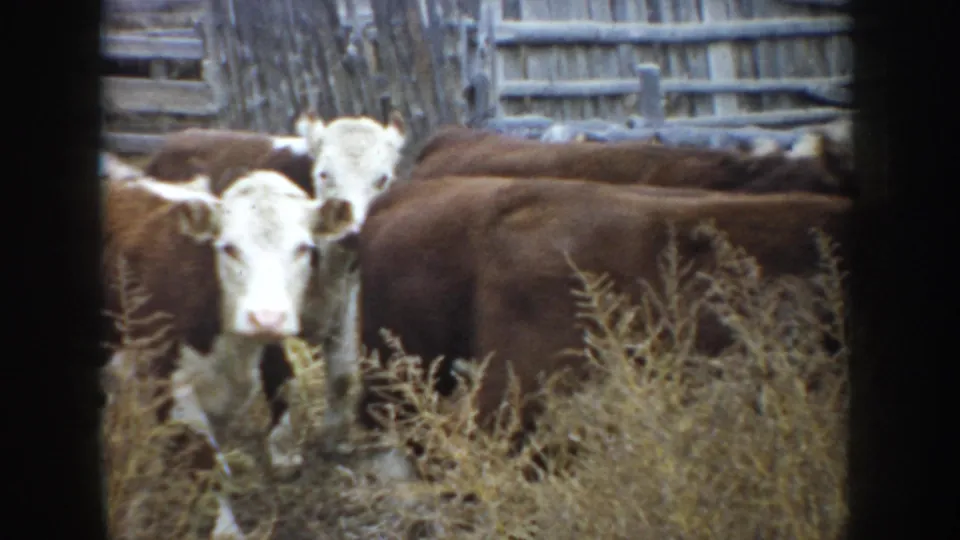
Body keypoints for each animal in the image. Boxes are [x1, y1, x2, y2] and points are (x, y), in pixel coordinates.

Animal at [102, 168, 355, 538]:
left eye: (303, 248)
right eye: (229, 248)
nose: (267, 317)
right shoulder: (169, 385)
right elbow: (207, 462)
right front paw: (225, 529)